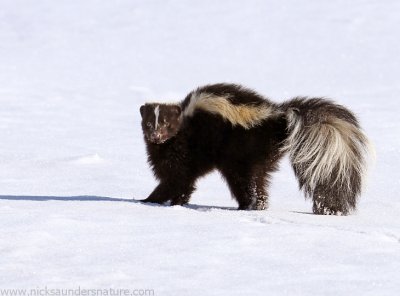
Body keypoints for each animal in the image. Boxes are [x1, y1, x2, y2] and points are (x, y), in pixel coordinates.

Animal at [139, 83, 370, 215]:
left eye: (167, 125)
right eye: (149, 124)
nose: (156, 136)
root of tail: (278, 117)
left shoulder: (184, 152)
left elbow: (178, 179)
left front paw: (155, 201)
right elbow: (180, 180)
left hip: (244, 153)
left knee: (249, 182)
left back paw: (250, 207)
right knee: (257, 182)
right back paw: (248, 206)